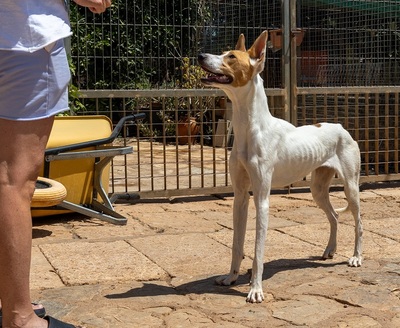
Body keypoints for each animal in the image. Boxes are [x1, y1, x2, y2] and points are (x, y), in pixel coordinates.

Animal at [198, 31, 362, 302]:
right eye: (223, 53)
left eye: (231, 56)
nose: (200, 55)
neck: (250, 128)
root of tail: (341, 126)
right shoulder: (240, 197)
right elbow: (236, 244)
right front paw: (231, 277)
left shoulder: (262, 198)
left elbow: (257, 250)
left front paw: (255, 289)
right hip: (318, 190)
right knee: (335, 216)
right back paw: (330, 250)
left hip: (351, 187)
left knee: (359, 222)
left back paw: (357, 257)